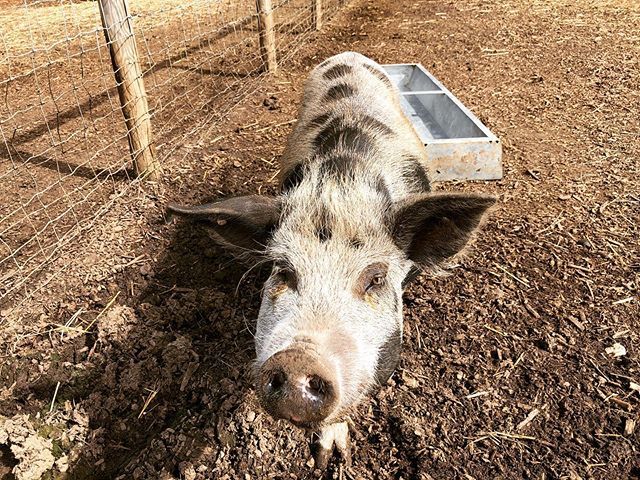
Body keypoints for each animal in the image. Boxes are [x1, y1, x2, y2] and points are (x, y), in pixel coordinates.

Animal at [167, 52, 495, 468]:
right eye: (283, 270)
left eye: (375, 278)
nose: (298, 361)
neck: (343, 183)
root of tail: (348, 55)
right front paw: (326, 459)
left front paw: (333, 459)